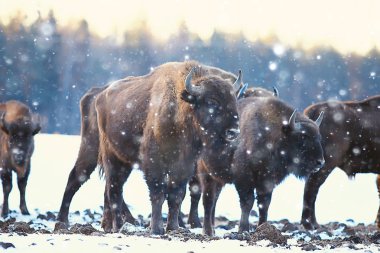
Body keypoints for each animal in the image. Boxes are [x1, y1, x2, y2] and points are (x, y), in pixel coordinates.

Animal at [56, 60, 242, 234]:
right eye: (211, 101)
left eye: (234, 100)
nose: (234, 131)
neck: (180, 109)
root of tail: (99, 94)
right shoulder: (154, 163)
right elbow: (158, 193)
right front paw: (157, 228)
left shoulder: (184, 166)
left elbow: (176, 195)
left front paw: (173, 227)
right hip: (99, 152)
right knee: (89, 181)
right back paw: (70, 224)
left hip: (123, 162)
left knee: (112, 188)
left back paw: (111, 225)